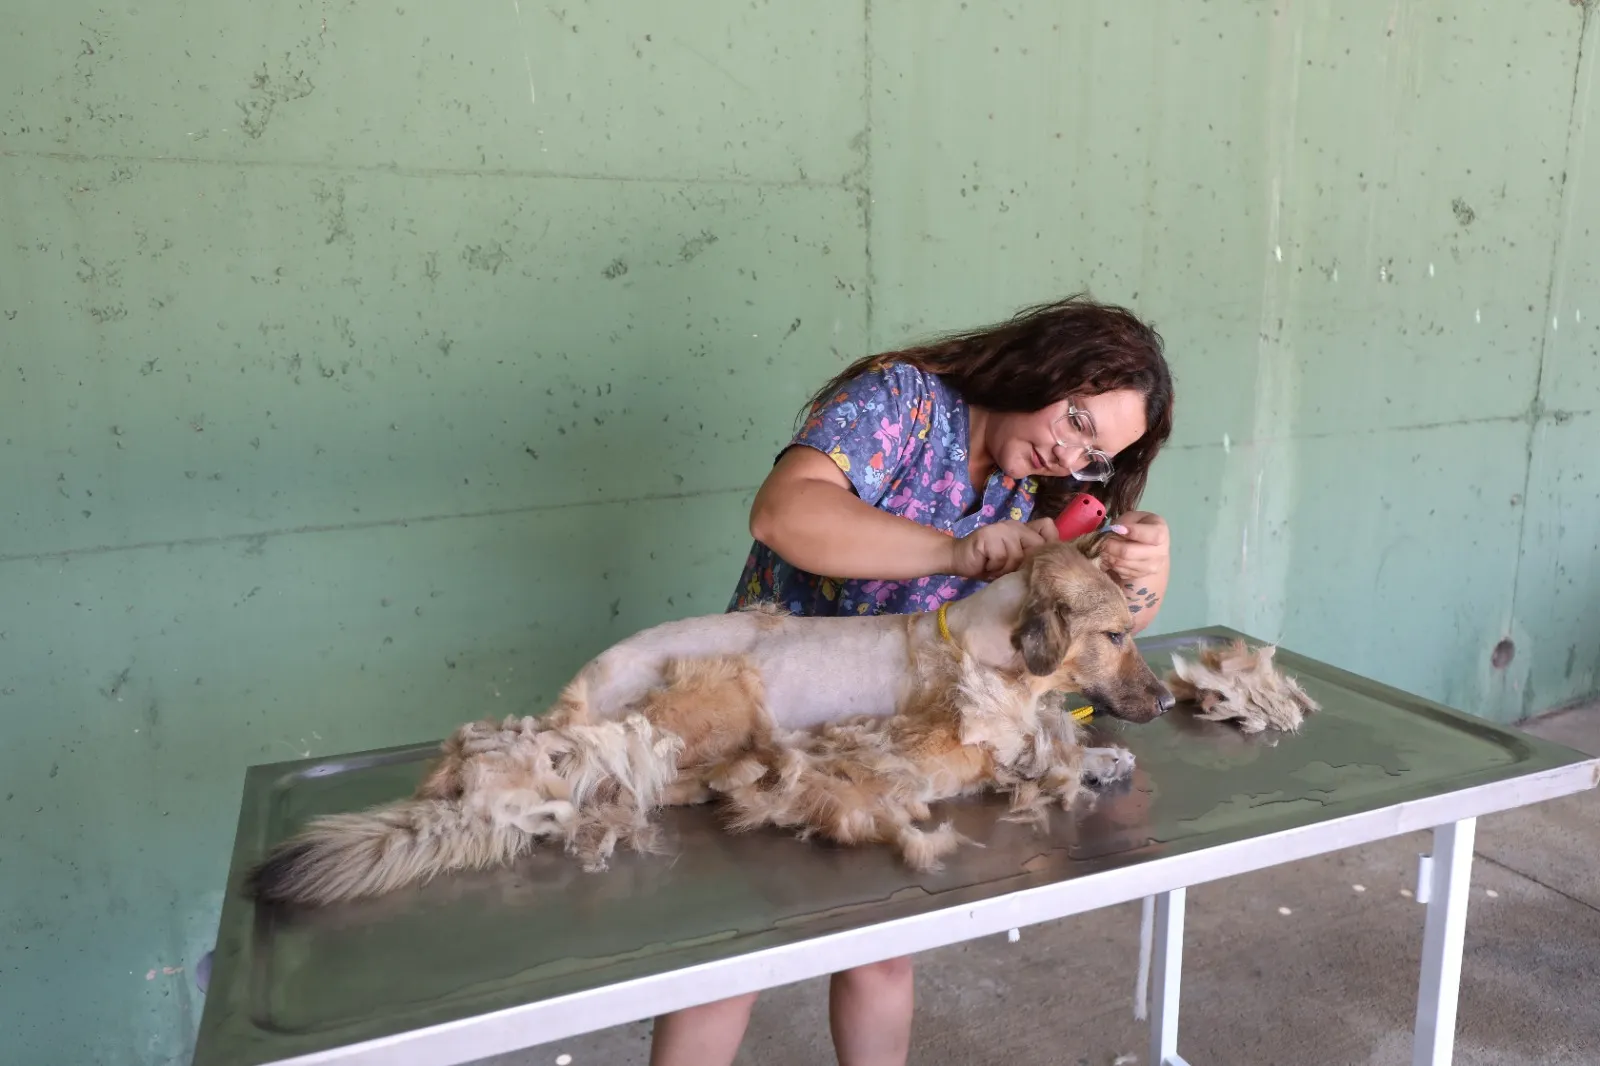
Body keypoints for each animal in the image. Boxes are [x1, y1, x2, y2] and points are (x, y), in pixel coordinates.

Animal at [249, 534, 1177, 902]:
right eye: (1117, 634)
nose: (1167, 700)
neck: (987, 642)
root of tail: (567, 709)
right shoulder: (960, 740)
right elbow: (1018, 755)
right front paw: (1085, 758)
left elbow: (1049, 741)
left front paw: (1095, 756)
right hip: (728, 687)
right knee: (658, 785)